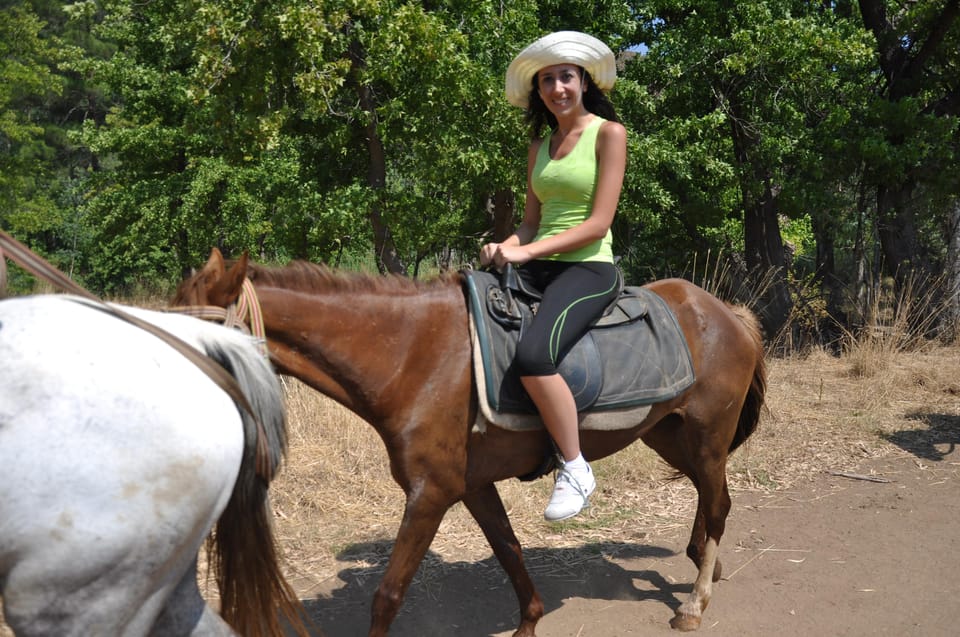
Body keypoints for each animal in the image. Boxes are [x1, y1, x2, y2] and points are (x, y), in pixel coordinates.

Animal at [172, 248, 768, 636]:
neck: (413, 355)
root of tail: (725, 312)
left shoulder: (430, 493)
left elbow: (388, 596)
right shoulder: (473, 486)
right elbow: (510, 552)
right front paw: (529, 622)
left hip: (707, 436)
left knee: (718, 506)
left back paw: (695, 603)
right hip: (670, 435)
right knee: (712, 498)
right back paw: (702, 564)